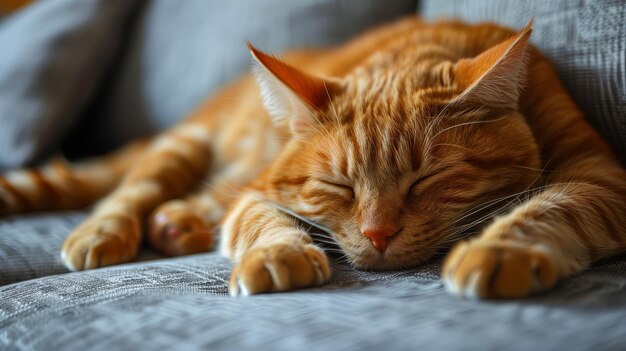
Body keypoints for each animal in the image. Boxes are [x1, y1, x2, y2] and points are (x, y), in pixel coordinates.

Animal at [1, 17, 624, 300]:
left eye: (428, 179)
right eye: (339, 187)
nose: (378, 235)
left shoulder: (601, 179)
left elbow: (551, 207)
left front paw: (500, 250)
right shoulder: (256, 192)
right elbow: (263, 221)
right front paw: (280, 253)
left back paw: (180, 224)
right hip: (186, 145)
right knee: (130, 191)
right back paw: (108, 231)